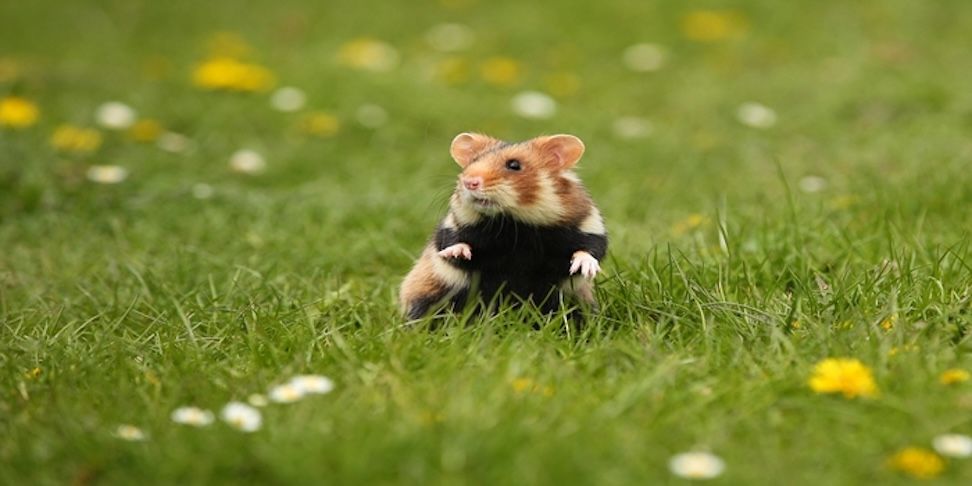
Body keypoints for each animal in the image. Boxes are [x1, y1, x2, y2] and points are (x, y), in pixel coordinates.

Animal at [399, 132, 608, 320]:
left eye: (514, 165)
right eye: (472, 162)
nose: (469, 182)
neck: (513, 223)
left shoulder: (588, 224)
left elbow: (591, 249)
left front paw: (586, 268)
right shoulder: (453, 224)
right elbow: (451, 241)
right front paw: (458, 252)